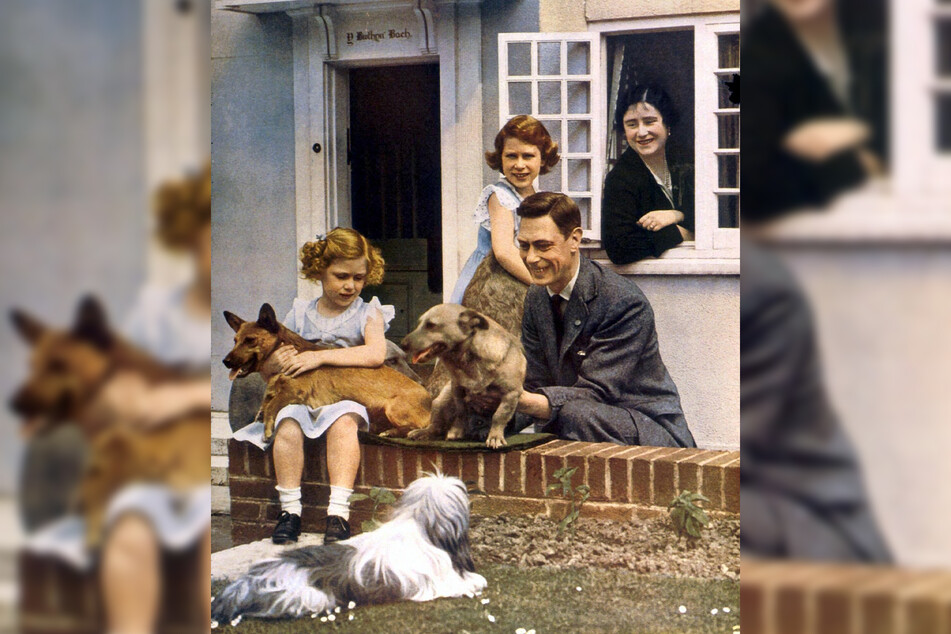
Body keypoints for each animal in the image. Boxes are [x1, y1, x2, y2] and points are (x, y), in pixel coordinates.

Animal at [212, 472, 488, 620]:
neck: (417, 522)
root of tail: (247, 581)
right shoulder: (435, 582)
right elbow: (465, 583)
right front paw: (478, 580)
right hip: (312, 597)